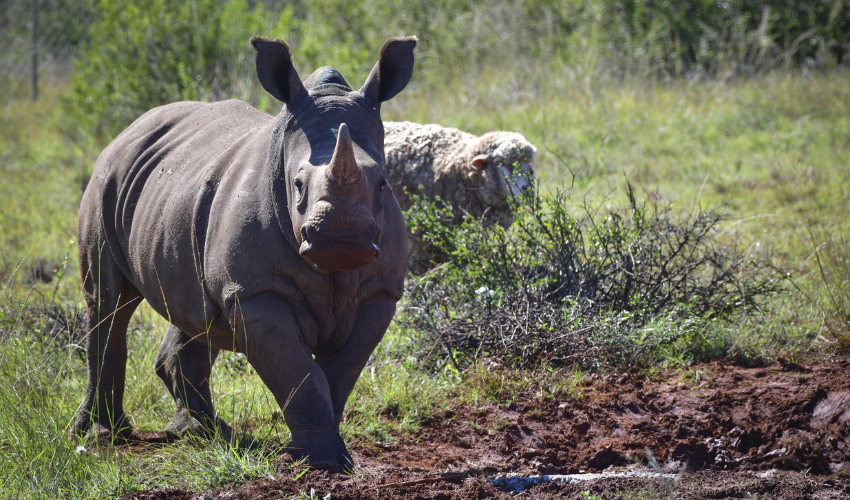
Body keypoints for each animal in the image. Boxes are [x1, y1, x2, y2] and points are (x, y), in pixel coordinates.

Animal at [73, 36, 417, 472]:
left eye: (384, 183)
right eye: (297, 185)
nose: (342, 239)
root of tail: (128, 130)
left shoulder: (379, 292)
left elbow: (338, 375)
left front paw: (332, 459)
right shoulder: (255, 291)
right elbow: (299, 374)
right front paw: (317, 462)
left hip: (175, 192)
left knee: (194, 309)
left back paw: (202, 433)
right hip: (107, 179)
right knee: (109, 303)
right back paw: (103, 435)